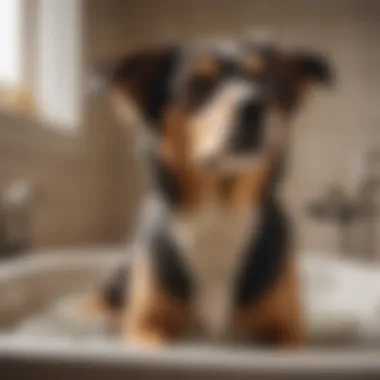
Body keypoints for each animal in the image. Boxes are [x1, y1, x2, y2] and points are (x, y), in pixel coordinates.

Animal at [87, 35, 332, 348]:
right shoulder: (143, 326)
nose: (255, 105)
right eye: (200, 83)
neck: (219, 211)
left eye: (264, 82)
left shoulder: (289, 332)